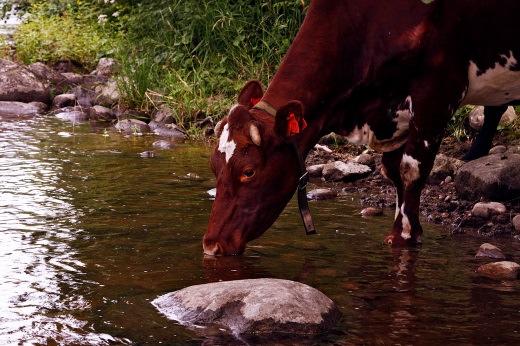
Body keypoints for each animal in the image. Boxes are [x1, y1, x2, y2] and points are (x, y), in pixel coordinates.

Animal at [203, 0, 520, 254]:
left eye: (249, 171)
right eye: (214, 166)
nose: (211, 245)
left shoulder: (438, 90)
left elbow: (411, 169)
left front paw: (405, 236)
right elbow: (392, 170)